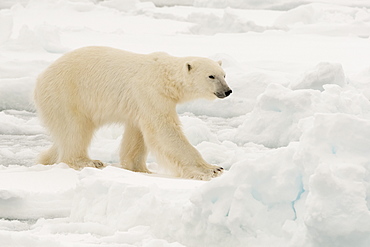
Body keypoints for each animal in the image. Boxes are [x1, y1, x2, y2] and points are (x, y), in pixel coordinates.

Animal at [34, 46, 231, 179]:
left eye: (224, 74)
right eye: (211, 76)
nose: (227, 91)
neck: (164, 77)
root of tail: (40, 79)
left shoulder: (140, 103)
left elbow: (136, 134)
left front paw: (139, 169)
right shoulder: (151, 93)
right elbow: (164, 131)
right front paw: (212, 169)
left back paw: (46, 158)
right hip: (67, 94)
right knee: (74, 130)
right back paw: (89, 161)